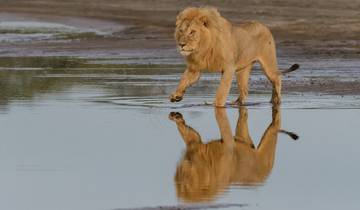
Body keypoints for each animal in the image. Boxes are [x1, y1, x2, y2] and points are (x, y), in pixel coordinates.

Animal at [169, 106, 298, 203]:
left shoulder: (227, 145)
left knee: (274, 126)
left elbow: (224, 127)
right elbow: (188, 133)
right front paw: (176, 117)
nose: (180, 174)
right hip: (244, 135)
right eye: (178, 184)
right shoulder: (195, 144)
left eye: (187, 185)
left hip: (268, 145)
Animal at [170, 6, 300, 106]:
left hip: (268, 64)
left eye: (192, 32)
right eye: (181, 31)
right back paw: (237, 103)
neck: (203, 48)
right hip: (242, 71)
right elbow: (183, 80)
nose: (181, 44)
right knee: (244, 91)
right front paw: (176, 95)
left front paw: (217, 105)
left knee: (277, 78)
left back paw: (276, 100)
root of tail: (263, 25)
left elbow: (222, 90)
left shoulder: (228, 67)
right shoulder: (195, 68)